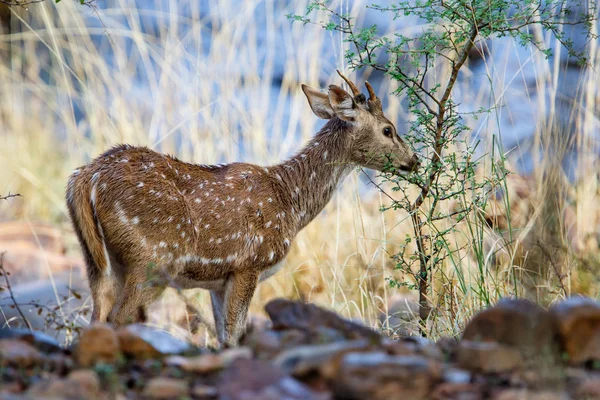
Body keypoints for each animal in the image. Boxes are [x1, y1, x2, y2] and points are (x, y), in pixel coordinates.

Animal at [65, 72, 420, 346]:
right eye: (388, 129)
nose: (414, 160)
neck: (290, 203)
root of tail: (84, 179)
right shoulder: (248, 264)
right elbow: (235, 334)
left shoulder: (218, 281)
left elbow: (223, 336)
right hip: (154, 259)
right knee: (117, 317)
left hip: (96, 262)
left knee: (96, 316)